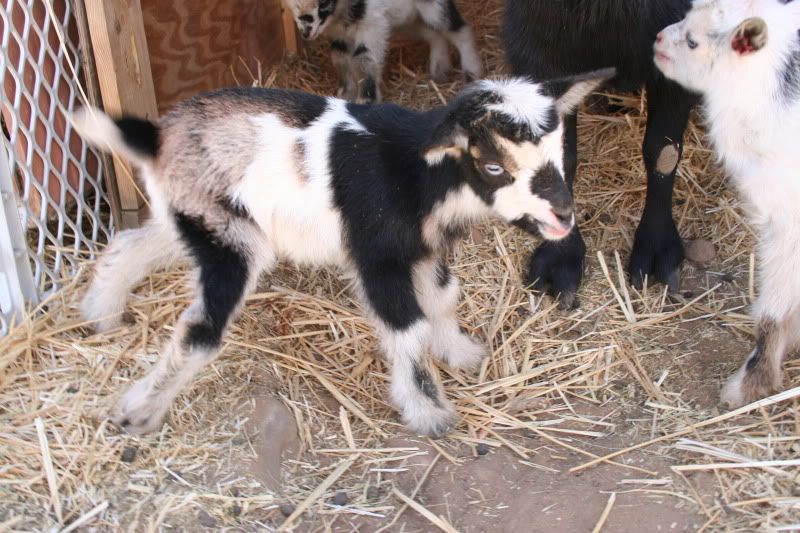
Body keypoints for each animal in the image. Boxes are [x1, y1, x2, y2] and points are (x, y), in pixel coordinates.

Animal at [73, 72, 612, 438]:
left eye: (560, 152)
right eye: (494, 166)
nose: (563, 215)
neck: (421, 174)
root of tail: (156, 137)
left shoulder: (420, 249)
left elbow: (443, 298)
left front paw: (459, 352)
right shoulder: (377, 256)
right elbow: (408, 328)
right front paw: (428, 412)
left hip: (200, 215)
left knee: (132, 245)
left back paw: (102, 313)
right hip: (229, 237)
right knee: (199, 328)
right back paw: (137, 411)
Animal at [283, 0, 482, 103]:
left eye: (323, 3)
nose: (306, 32)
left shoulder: (371, 25)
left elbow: (364, 60)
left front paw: (366, 101)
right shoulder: (339, 36)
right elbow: (341, 60)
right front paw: (346, 95)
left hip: (432, 7)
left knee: (459, 30)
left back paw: (472, 72)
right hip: (406, 20)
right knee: (434, 34)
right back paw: (439, 70)